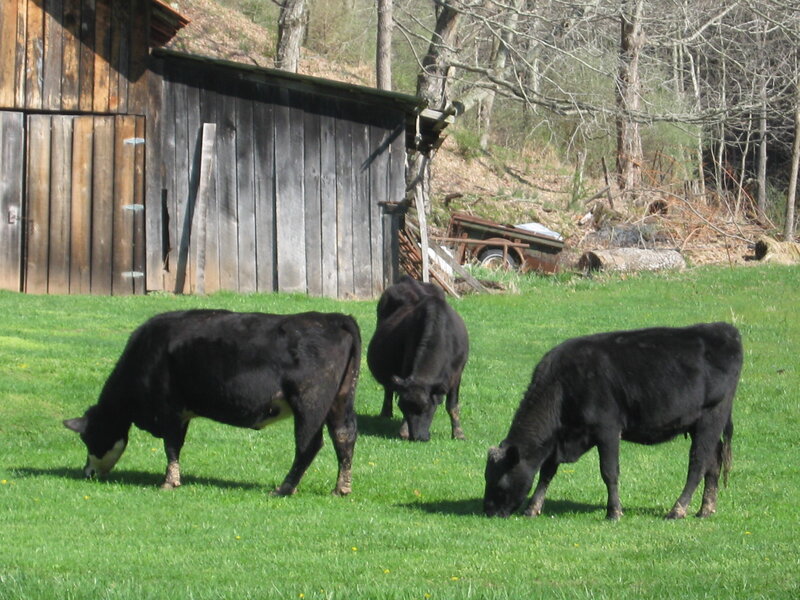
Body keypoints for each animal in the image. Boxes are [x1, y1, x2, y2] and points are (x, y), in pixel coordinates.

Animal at [64, 309, 361, 496]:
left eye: (89, 438)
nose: (87, 473)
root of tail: (334, 318)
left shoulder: (169, 408)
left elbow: (171, 445)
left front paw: (169, 482)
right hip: (340, 400)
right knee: (344, 437)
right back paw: (340, 489)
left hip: (309, 403)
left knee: (309, 444)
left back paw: (285, 488)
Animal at [367, 276, 469, 441]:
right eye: (402, 406)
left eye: (427, 407)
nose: (418, 437)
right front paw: (403, 431)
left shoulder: (457, 374)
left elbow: (453, 406)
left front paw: (458, 433)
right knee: (388, 390)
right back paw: (386, 413)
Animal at [484, 322, 743, 520]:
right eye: (486, 476)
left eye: (499, 481)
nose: (488, 511)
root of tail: (723, 329)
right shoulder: (559, 438)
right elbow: (547, 471)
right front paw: (533, 508)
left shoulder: (607, 429)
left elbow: (609, 472)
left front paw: (614, 512)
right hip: (703, 424)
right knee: (713, 462)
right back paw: (706, 510)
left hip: (711, 417)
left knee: (698, 464)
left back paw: (678, 510)